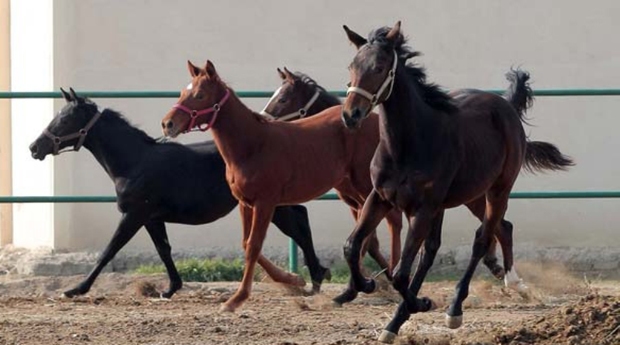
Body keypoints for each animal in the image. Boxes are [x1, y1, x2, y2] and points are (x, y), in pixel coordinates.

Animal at [29, 87, 332, 296]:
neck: (135, 161)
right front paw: (170, 288)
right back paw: (314, 276)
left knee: (298, 227)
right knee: (301, 218)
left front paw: (76, 289)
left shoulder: (134, 215)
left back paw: (316, 277)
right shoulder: (151, 218)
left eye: (65, 120)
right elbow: (163, 249)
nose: (35, 147)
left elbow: (109, 250)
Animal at [161, 59, 402, 312]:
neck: (252, 145)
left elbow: (254, 245)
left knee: (390, 220)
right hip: (354, 191)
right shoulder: (244, 203)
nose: (167, 123)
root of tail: (373, 121)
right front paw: (293, 279)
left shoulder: (265, 203)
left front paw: (236, 299)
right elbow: (246, 243)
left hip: (366, 186)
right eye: (182, 93)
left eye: (199, 95)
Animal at [340, 21, 572, 342]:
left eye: (379, 67)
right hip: (469, 195)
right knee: (489, 231)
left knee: (482, 238)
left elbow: (402, 272)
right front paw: (368, 286)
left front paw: (422, 302)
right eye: (352, 65)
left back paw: (457, 308)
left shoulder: (423, 207)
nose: (351, 114)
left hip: (497, 190)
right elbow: (352, 246)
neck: (407, 145)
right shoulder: (381, 197)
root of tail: (506, 105)